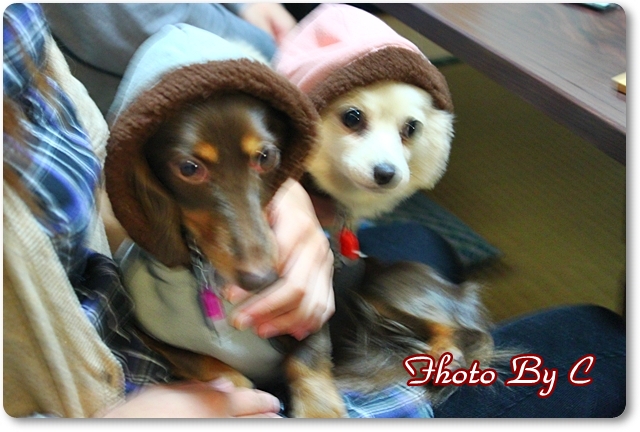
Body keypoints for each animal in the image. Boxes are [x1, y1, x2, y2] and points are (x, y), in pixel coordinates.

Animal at [128, 93, 346, 418]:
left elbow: (306, 357)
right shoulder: (145, 331)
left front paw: (318, 412)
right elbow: (206, 363)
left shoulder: (309, 313)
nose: (262, 279)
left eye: (265, 157)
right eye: (189, 168)